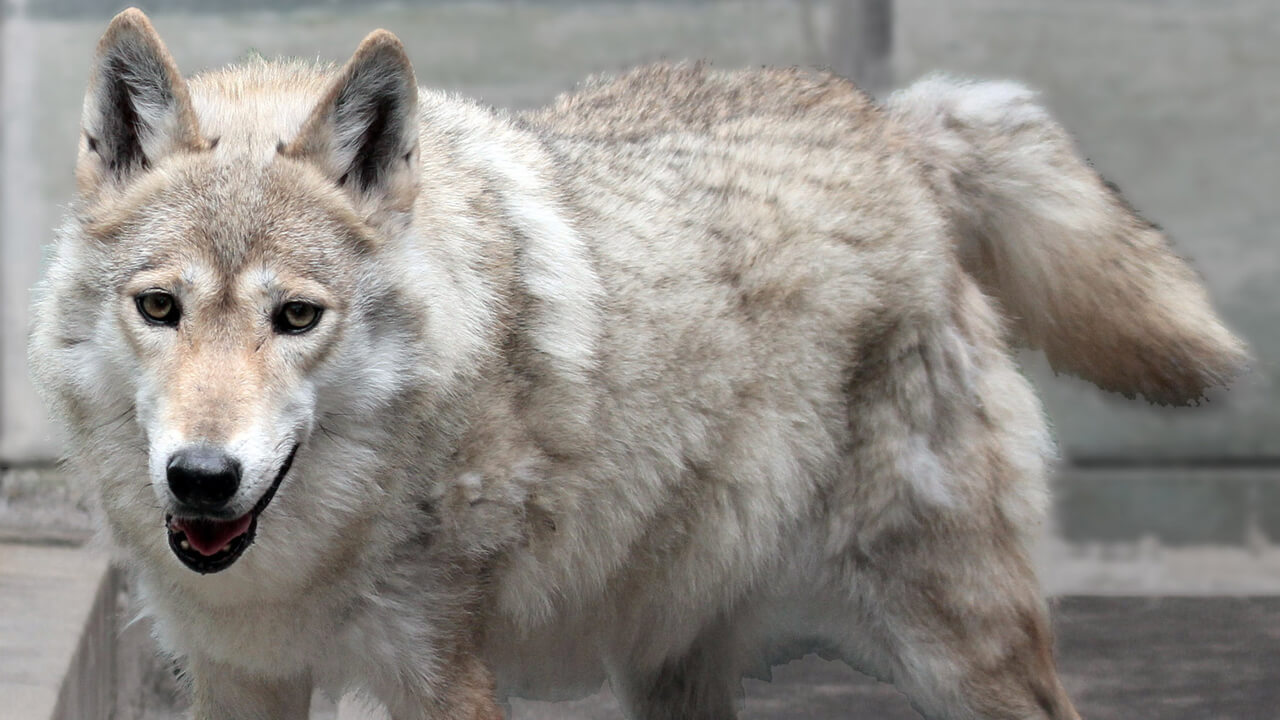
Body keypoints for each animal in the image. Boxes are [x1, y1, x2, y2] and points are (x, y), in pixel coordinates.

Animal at [32, 7, 1249, 717]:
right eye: (160, 308)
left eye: (295, 317)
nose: (202, 478)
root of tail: (891, 123)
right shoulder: (241, 677)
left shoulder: (439, 674)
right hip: (673, 659)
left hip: (960, 648)